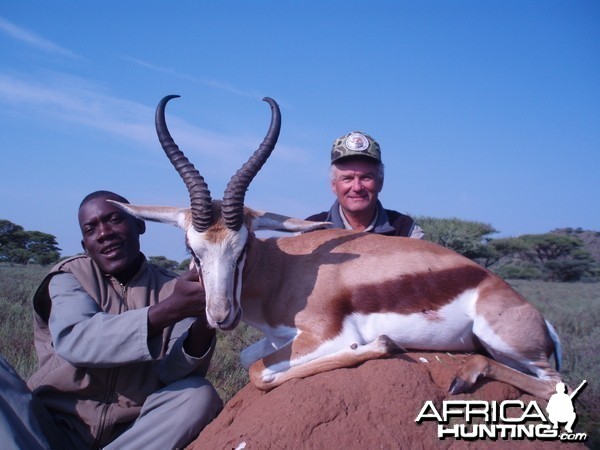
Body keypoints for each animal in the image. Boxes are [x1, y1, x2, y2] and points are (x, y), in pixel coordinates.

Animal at [112, 95, 564, 398]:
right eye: (192, 250)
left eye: (243, 248)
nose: (222, 317)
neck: (283, 275)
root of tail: (540, 318)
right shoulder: (278, 338)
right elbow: (248, 359)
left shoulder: (325, 334)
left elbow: (259, 372)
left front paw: (379, 344)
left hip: (504, 341)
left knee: (555, 385)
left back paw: (463, 375)